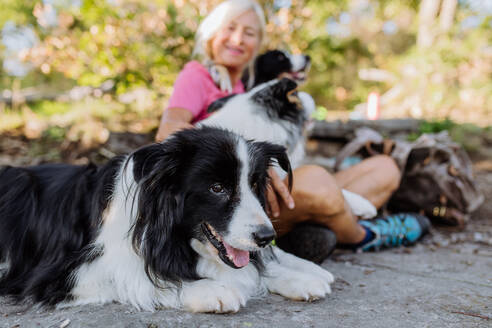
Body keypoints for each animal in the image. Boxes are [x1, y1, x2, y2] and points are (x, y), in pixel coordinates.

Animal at [0, 126, 332, 312]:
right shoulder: (63, 274)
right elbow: (138, 277)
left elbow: (253, 267)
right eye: (217, 188)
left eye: (253, 185)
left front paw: (299, 274)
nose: (266, 237)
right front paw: (210, 290)